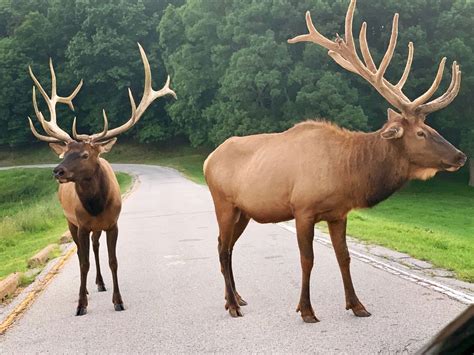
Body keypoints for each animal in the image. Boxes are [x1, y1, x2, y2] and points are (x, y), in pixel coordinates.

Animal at [25, 44, 176, 318]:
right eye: (65, 152)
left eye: (85, 154)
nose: (57, 171)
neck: (96, 206)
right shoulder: (82, 224)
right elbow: (83, 262)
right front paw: (80, 303)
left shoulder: (113, 223)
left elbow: (113, 261)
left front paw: (118, 300)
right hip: (71, 222)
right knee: (81, 254)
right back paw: (87, 288)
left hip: (95, 228)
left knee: (95, 248)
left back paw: (100, 283)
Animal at [204, 0, 466, 322]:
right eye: (421, 132)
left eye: (431, 128)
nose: (460, 155)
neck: (347, 174)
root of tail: (208, 160)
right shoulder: (302, 208)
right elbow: (307, 259)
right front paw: (306, 309)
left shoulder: (339, 213)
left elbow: (344, 257)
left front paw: (357, 305)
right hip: (224, 202)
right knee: (223, 248)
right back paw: (231, 305)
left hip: (244, 210)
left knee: (225, 245)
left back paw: (237, 298)